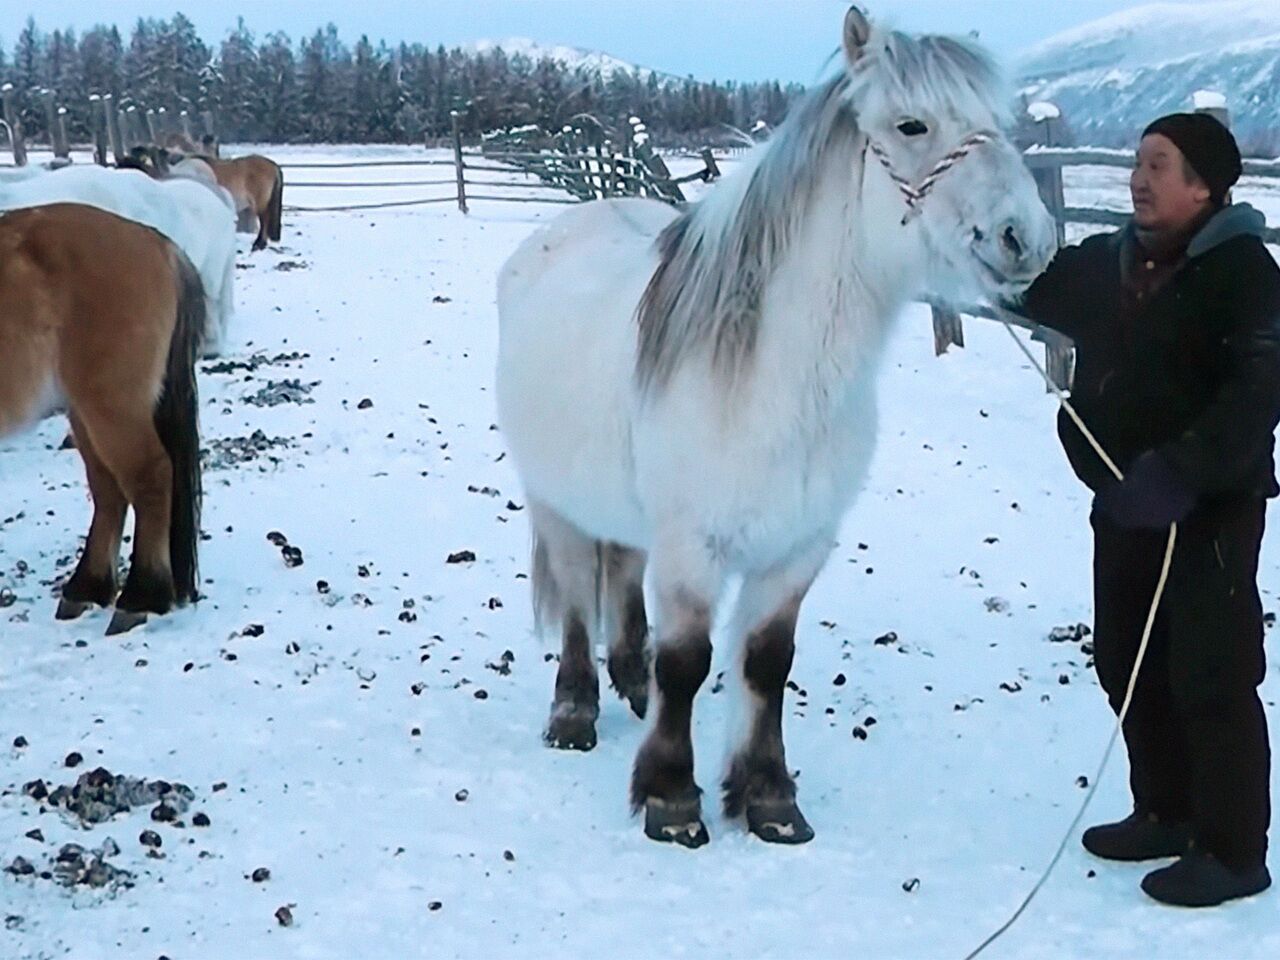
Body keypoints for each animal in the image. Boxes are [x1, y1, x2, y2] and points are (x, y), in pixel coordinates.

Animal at [0, 202, 204, 634]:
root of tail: (155, 242)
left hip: (111, 406)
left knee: (150, 477)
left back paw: (141, 596)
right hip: (85, 411)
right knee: (109, 490)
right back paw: (87, 588)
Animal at [494, 5, 1054, 849]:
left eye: (999, 121)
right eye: (912, 124)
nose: (1028, 239)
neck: (772, 379)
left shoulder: (798, 548)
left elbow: (765, 663)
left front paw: (768, 799)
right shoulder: (693, 548)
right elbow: (688, 663)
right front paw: (672, 799)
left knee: (619, 575)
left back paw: (629, 680)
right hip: (554, 499)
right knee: (574, 598)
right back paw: (574, 711)